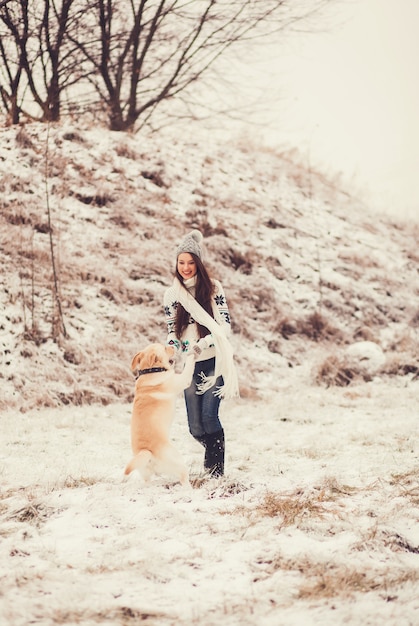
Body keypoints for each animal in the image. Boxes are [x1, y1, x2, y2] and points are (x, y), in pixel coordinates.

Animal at [124, 344, 195, 486]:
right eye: (164, 347)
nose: (173, 345)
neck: (151, 371)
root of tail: (146, 451)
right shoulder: (182, 380)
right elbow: (189, 366)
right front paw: (193, 351)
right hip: (178, 461)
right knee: (184, 477)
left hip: (144, 472)